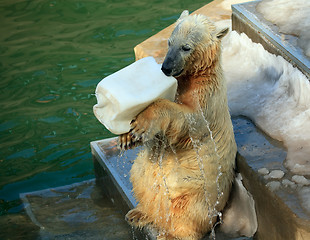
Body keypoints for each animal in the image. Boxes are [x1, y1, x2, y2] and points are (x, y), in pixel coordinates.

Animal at [120, 10, 236, 240]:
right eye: (169, 42)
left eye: (186, 47)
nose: (165, 67)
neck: (195, 76)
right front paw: (127, 136)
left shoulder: (207, 98)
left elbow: (187, 119)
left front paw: (142, 122)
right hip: (146, 176)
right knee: (140, 178)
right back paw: (139, 214)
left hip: (196, 194)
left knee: (187, 214)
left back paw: (171, 233)